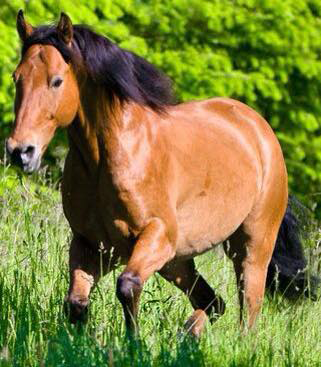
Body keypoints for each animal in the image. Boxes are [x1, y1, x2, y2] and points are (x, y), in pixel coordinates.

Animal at [6, 11, 316, 340]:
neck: (106, 160)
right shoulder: (90, 245)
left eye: (56, 81)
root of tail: (259, 129)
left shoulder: (157, 236)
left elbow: (127, 286)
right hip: (177, 261)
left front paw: (134, 343)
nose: (20, 151)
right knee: (213, 303)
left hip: (251, 248)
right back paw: (187, 335)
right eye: (16, 78)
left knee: (248, 312)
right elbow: (76, 304)